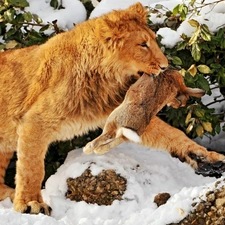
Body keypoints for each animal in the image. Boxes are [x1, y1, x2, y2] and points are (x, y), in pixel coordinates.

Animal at [0, 2, 224, 216]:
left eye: (153, 41)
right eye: (143, 44)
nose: (164, 66)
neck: (102, 77)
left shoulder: (123, 111)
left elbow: (171, 134)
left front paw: (207, 157)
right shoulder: (35, 121)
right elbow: (32, 167)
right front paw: (31, 203)